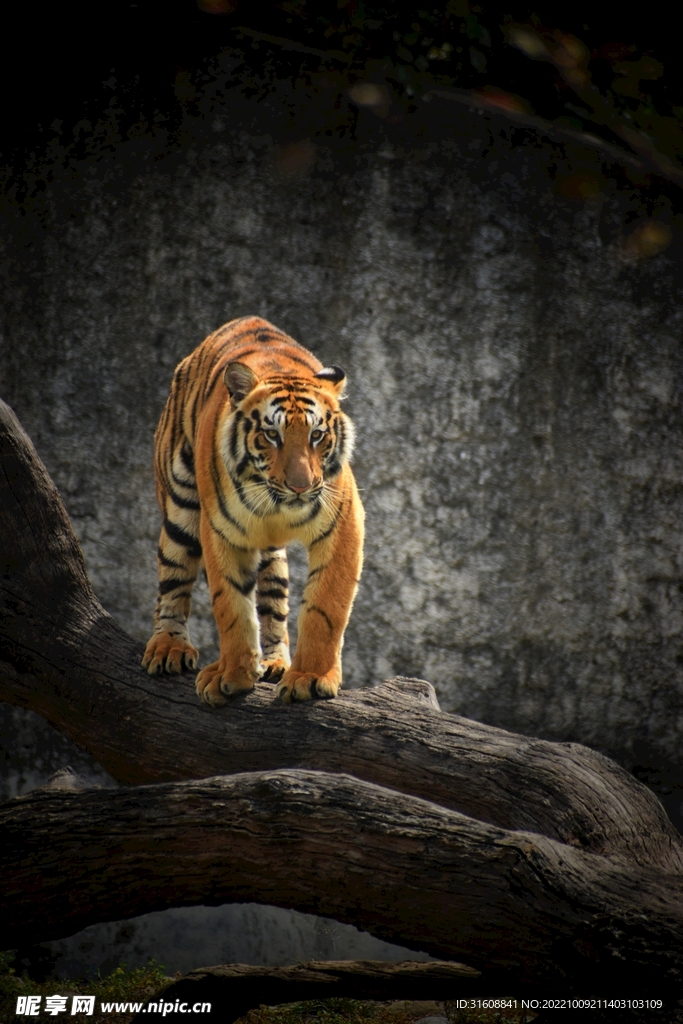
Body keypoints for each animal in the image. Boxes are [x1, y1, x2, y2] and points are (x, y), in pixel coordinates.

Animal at [141, 315, 364, 705]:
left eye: (317, 435)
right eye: (272, 435)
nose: (301, 486)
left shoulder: (343, 523)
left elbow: (325, 607)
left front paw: (309, 677)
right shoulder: (220, 531)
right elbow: (231, 606)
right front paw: (231, 675)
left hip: (272, 557)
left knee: (274, 602)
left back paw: (276, 663)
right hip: (180, 509)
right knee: (173, 580)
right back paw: (168, 647)